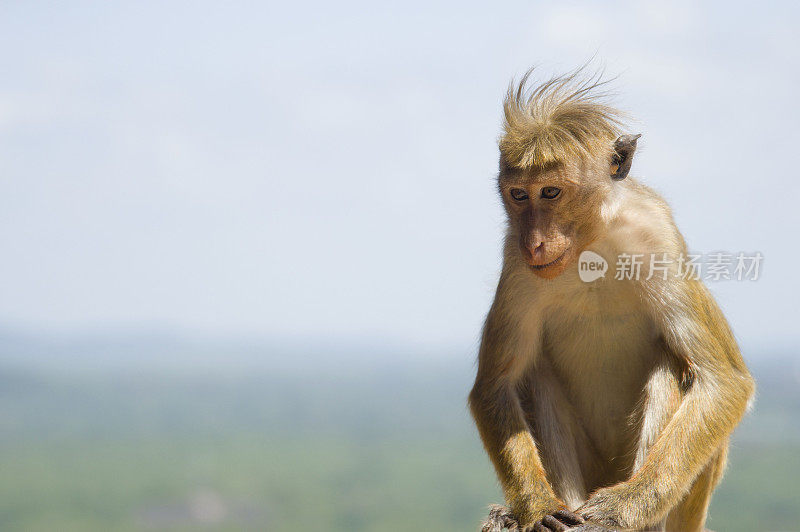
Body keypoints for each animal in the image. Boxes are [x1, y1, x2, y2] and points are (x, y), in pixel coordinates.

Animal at [466, 68, 752, 528]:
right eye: (518, 195)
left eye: (550, 192)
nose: (535, 242)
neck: (591, 242)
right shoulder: (517, 264)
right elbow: (496, 386)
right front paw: (540, 509)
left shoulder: (659, 238)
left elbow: (723, 378)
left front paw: (622, 507)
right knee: (536, 376)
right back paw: (562, 507)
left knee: (673, 365)